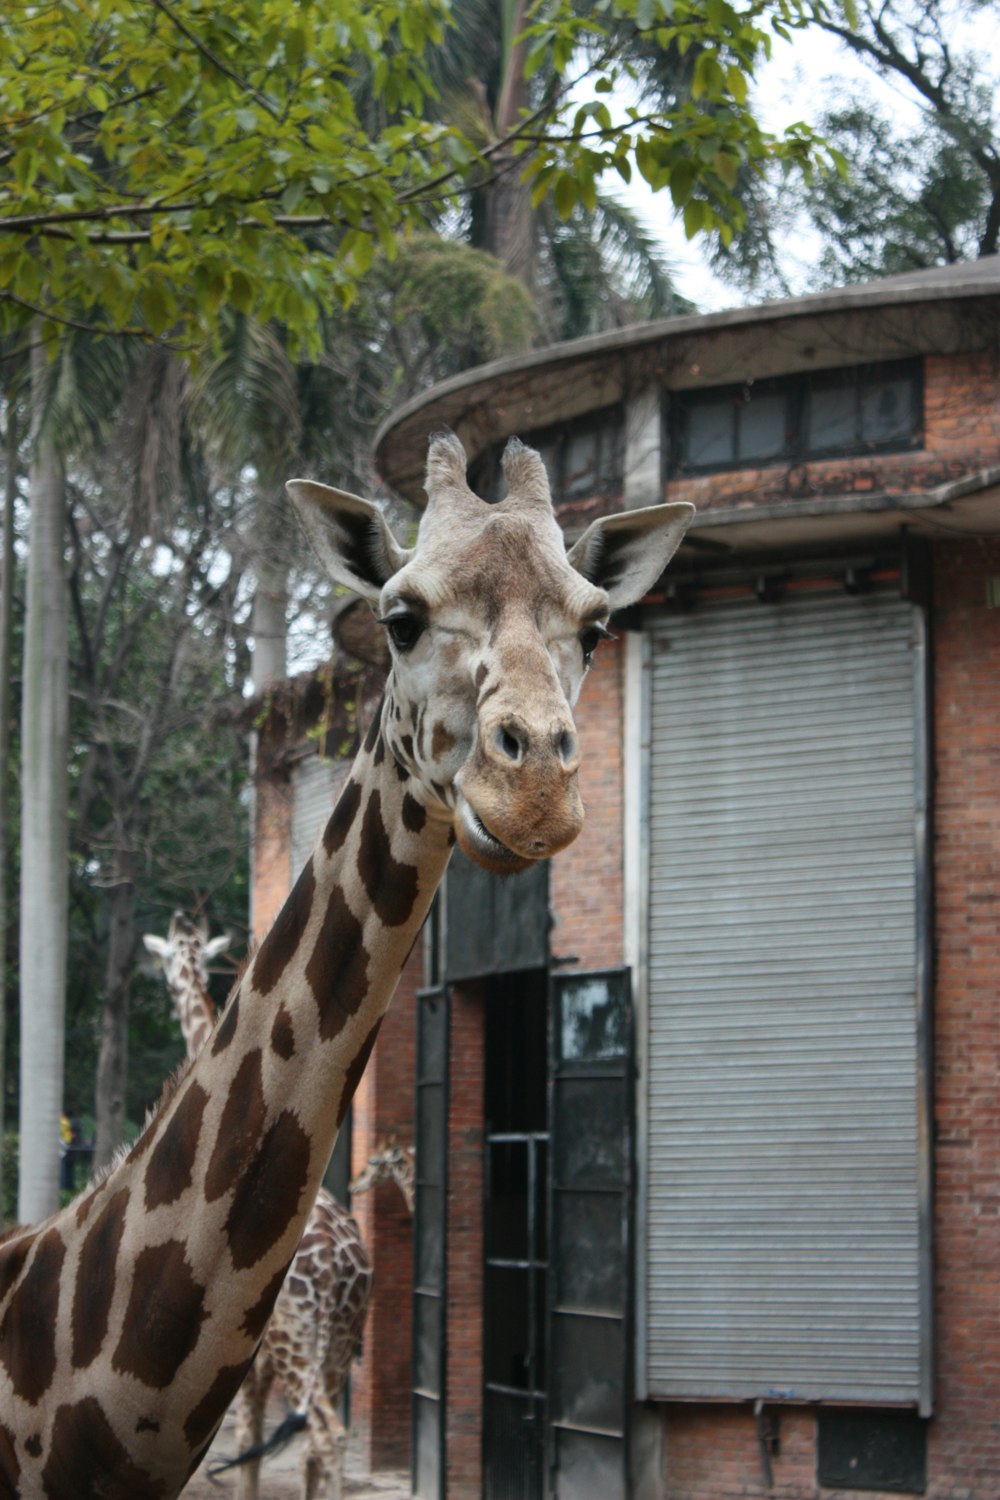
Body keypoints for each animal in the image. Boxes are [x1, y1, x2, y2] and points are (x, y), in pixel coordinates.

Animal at [142, 912, 373, 1500]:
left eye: (167, 967)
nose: (171, 992)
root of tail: (340, 1270)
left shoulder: (237, 1368)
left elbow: (245, 1446)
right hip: (339, 1346)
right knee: (323, 1443)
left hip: (297, 1343)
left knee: (325, 1435)